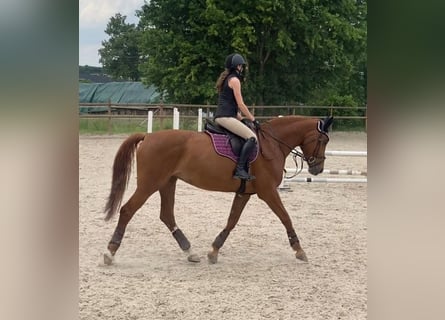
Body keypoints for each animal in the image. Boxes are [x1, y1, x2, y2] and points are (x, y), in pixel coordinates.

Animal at [104, 115, 332, 264]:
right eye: (323, 140)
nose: (318, 168)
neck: (271, 145)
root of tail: (148, 136)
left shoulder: (244, 193)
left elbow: (232, 220)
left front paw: (214, 250)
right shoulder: (268, 192)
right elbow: (285, 217)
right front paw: (299, 250)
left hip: (167, 183)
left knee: (167, 215)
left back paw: (190, 252)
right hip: (150, 184)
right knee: (127, 210)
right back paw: (110, 252)